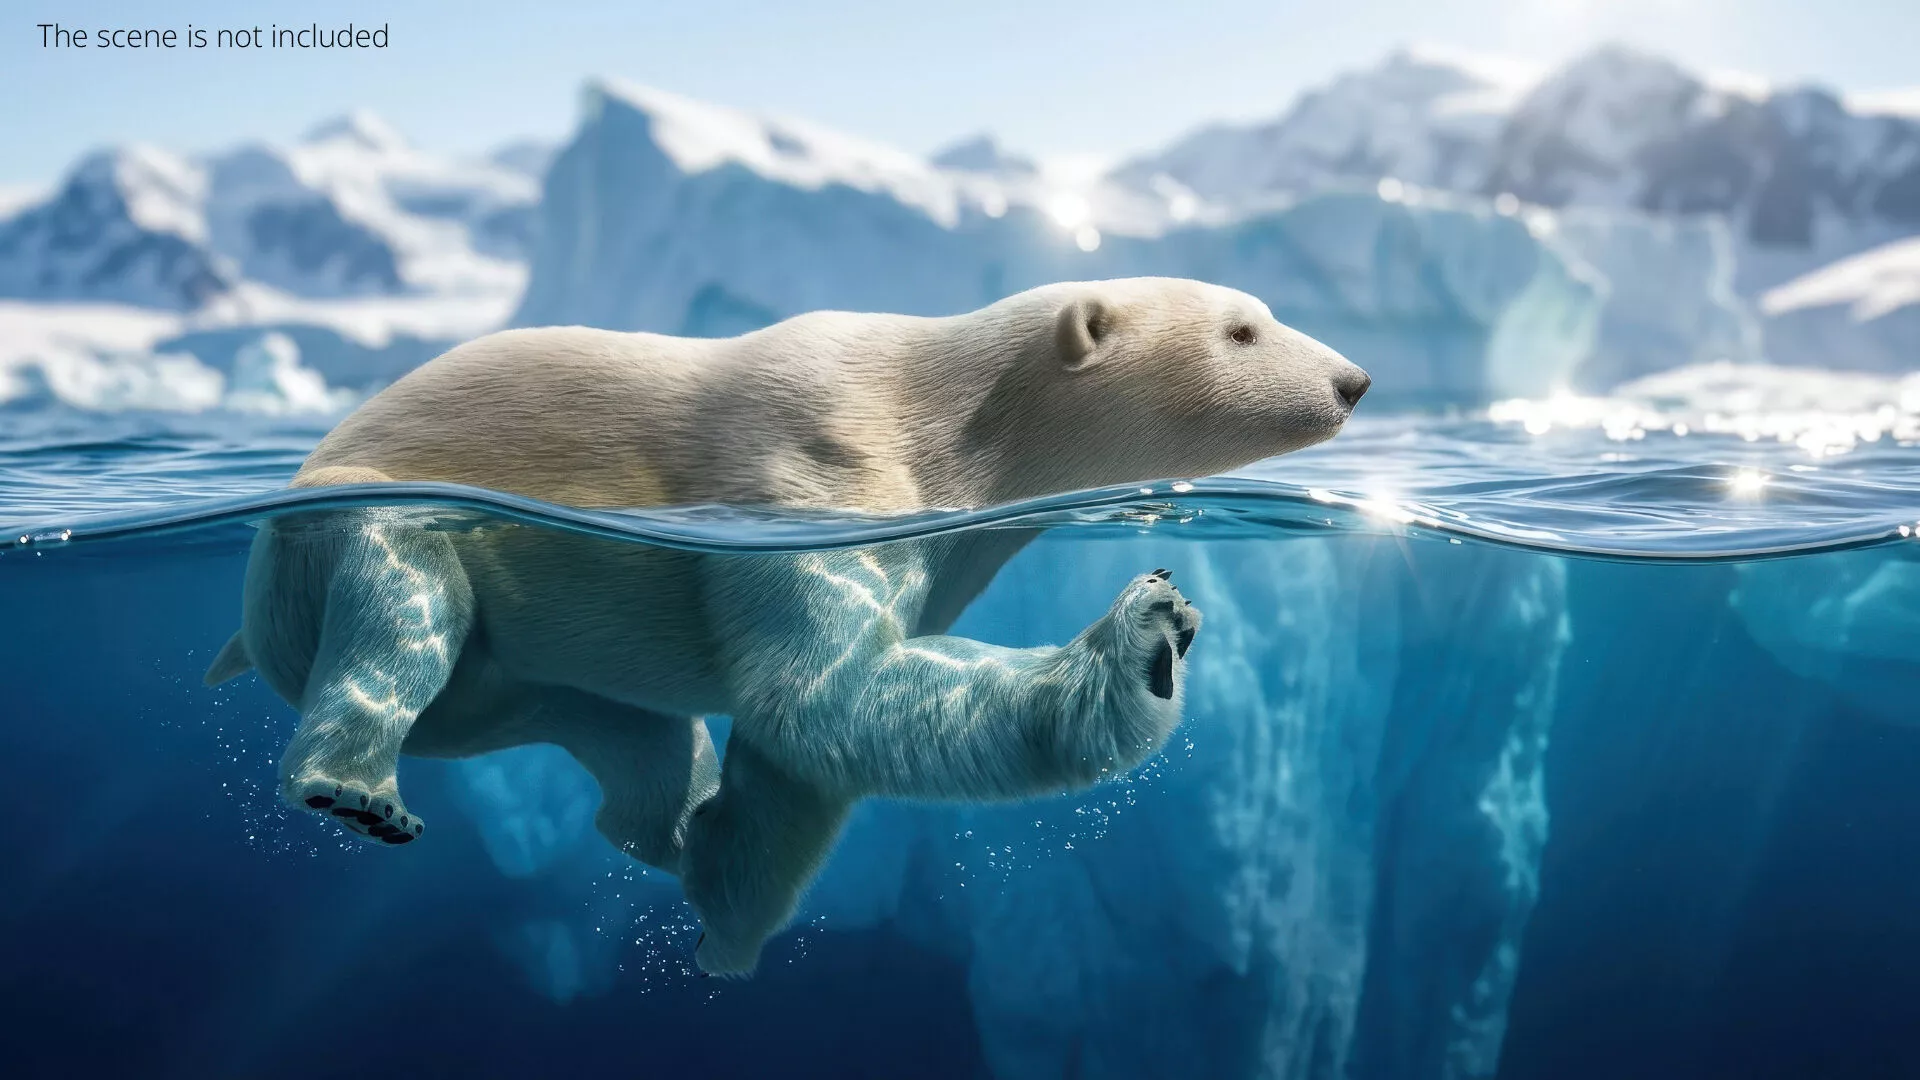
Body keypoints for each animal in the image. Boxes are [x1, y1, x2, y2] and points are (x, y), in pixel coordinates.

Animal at [202, 276, 1370, 975]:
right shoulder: (815, 473)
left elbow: (795, 750)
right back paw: (353, 786)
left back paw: (673, 828)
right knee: (402, 606)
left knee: (635, 737)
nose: (1355, 379)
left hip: (532, 678)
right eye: (1243, 328)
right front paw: (1143, 642)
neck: (962, 424)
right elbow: (821, 697)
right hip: (358, 528)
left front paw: (726, 909)